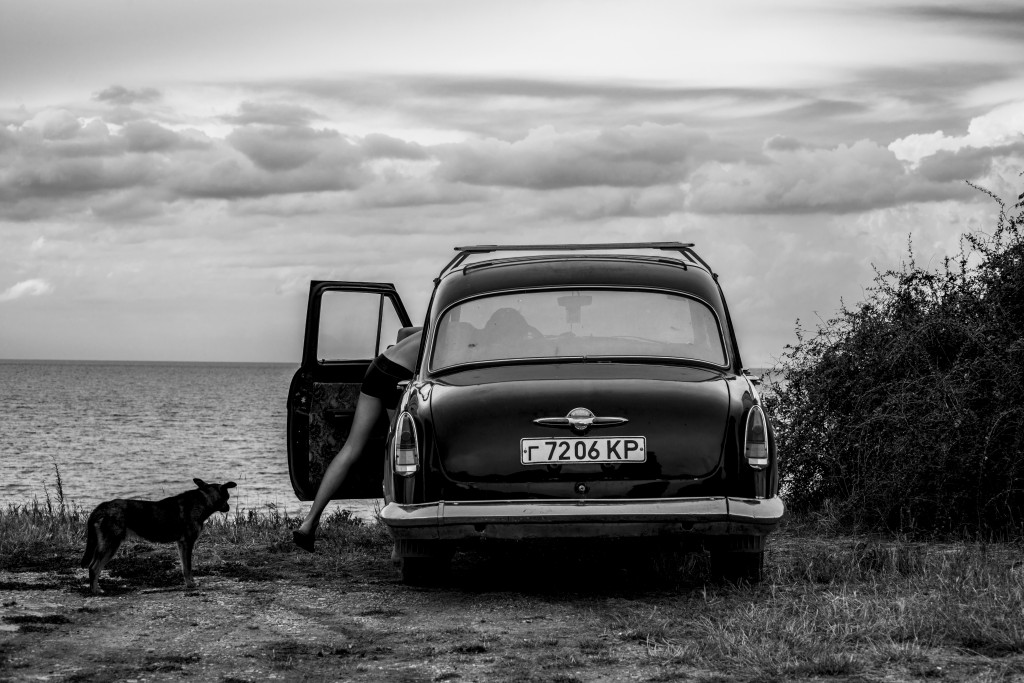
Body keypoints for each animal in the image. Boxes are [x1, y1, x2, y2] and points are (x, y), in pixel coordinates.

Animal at [80, 481, 236, 593]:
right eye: (227, 497)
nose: (228, 508)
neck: (203, 500)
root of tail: (102, 507)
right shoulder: (188, 542)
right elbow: (188, 567)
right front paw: (191, 584)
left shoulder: (181, 544)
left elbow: (185, 568)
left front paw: (189, 583)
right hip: (111, 545)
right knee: (94, 567)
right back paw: (95, 590)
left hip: (105, 545)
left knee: (93, 567)